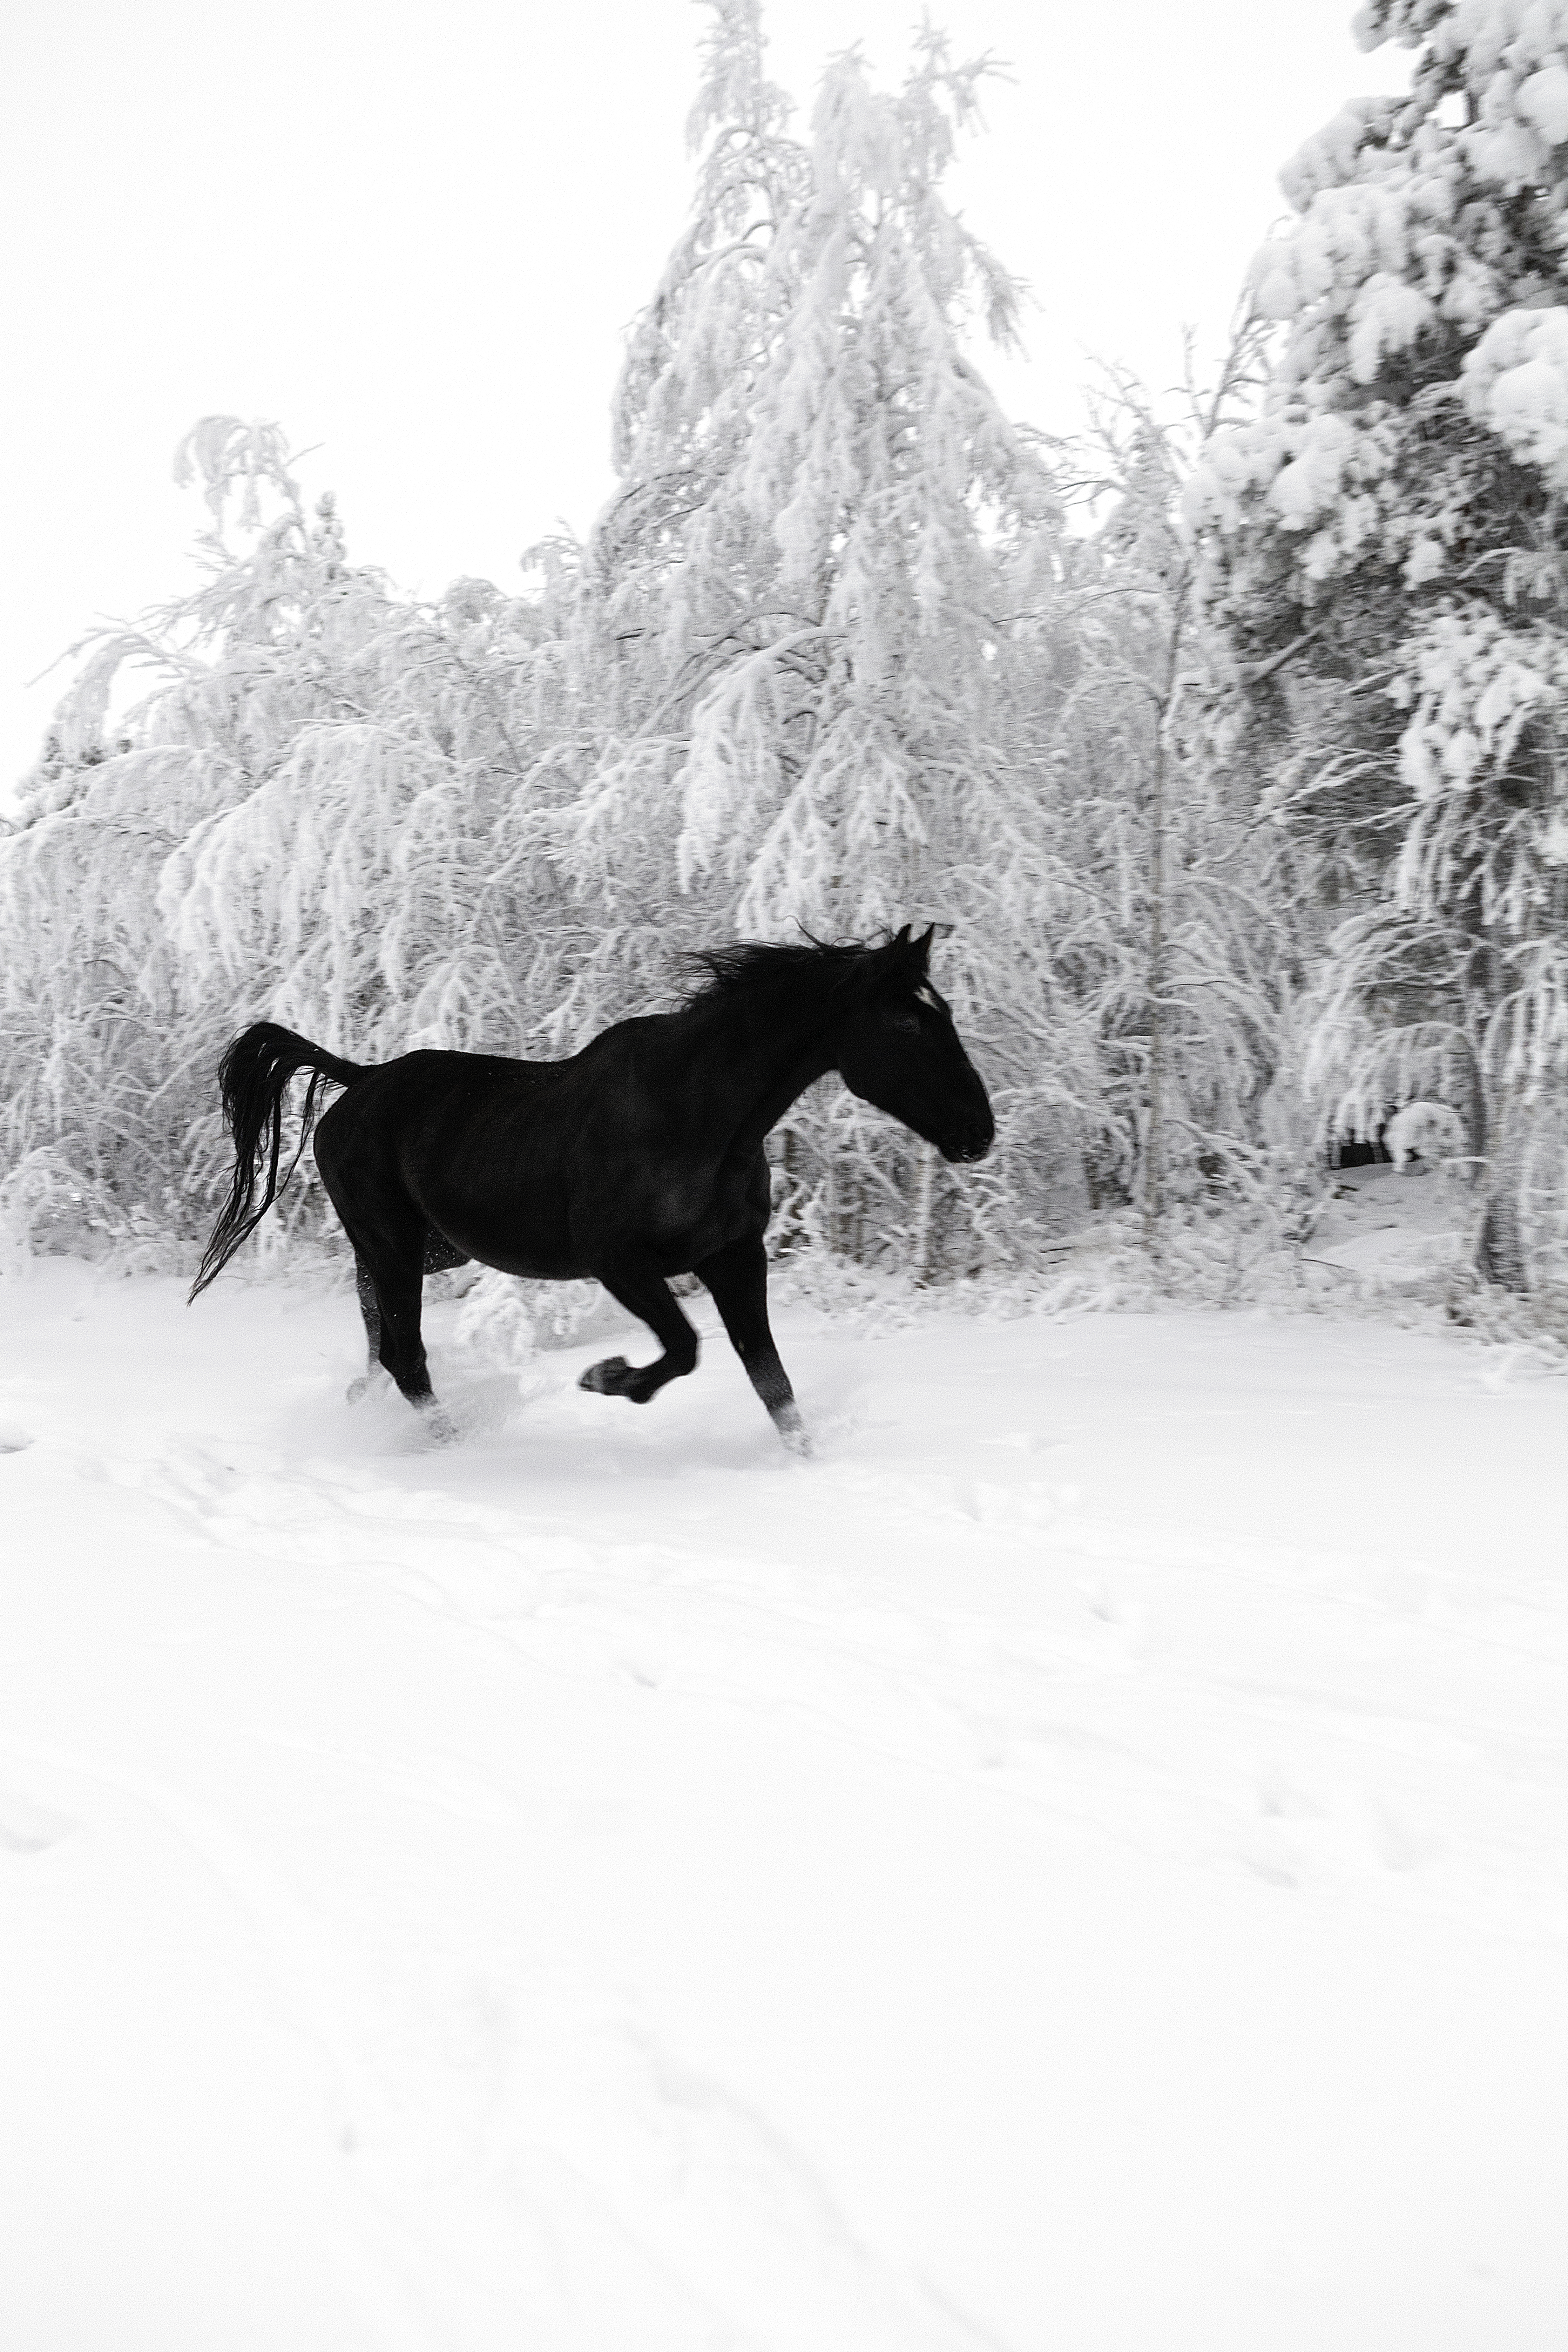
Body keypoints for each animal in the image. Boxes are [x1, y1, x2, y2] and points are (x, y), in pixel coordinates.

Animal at [190, 926, 994, 1449]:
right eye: (907, 1023)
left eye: (948, 1013)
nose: (978, 1130)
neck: (697, 1114)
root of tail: (357, 1082)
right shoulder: (621, 1262)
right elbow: (684, 1349)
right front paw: (607, 1378)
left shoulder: (736, 1258)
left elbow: (772, 1382)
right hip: (391, 1246)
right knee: (405, 1358)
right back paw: (455, 1445)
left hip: (421, 1251)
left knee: (379, 1349)